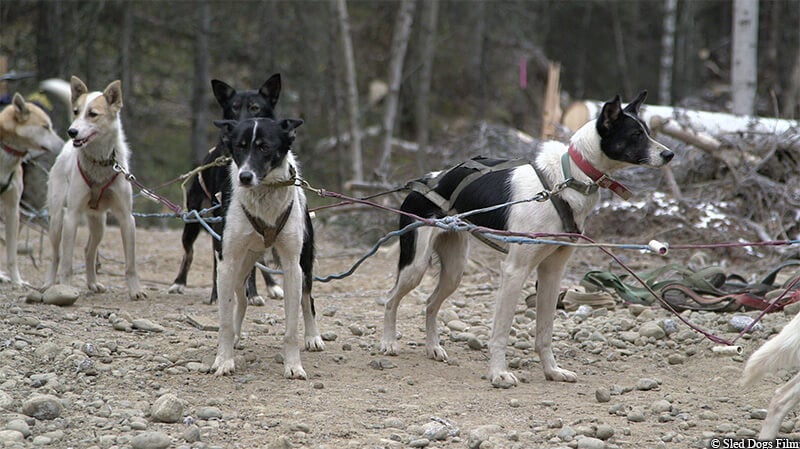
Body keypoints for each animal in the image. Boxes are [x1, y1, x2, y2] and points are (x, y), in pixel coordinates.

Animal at [44, 76, 147, 300]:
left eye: (92, 114)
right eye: (76, 111)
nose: (72, 131)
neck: (100, 162)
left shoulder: (127, 219)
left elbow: (131, 264)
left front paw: (135, 290)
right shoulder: (71, 217)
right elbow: (67, 264)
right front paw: (66, 288)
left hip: (99, 225)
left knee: (88, 251)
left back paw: (92, 283)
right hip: (56, 222)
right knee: (56, 256)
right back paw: (49, 284)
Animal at [167, 74, 282, 304]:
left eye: (255, 108)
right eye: (234, 107)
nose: (241, 126)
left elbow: (252, 266)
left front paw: (253, 293)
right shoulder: (220, 221)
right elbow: (217, 264)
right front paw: (216, 295)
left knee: (260, 259)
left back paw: (271, 285)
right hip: (193, 221)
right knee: (188, 253)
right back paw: (179, 282)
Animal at [212, 116, 324, 378]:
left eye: (264, 148)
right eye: (240, 147)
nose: (244, 176)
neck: (264, 196)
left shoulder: (293, 267)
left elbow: (292, 328)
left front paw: (293, 365)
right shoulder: (226, 263)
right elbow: (224, 322)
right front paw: (224, 360)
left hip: (305, 265)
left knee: (308, 300)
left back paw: (313, 336)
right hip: (241, 265)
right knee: (241, 298)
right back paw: (236, 334)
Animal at [382, 90, 676, 384]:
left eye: (648, 132)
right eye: (636, 134)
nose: (669, 154)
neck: (567, 178)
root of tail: (422, 181)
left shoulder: (552, 272)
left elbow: (544, 332)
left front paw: (552, 370)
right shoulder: (515, 270)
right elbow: (501, 332)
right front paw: (499, 373)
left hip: (454, 271)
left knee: (430, 304)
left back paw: (433, 347)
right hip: (415, 266)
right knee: (390, 298)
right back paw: (388, 342)